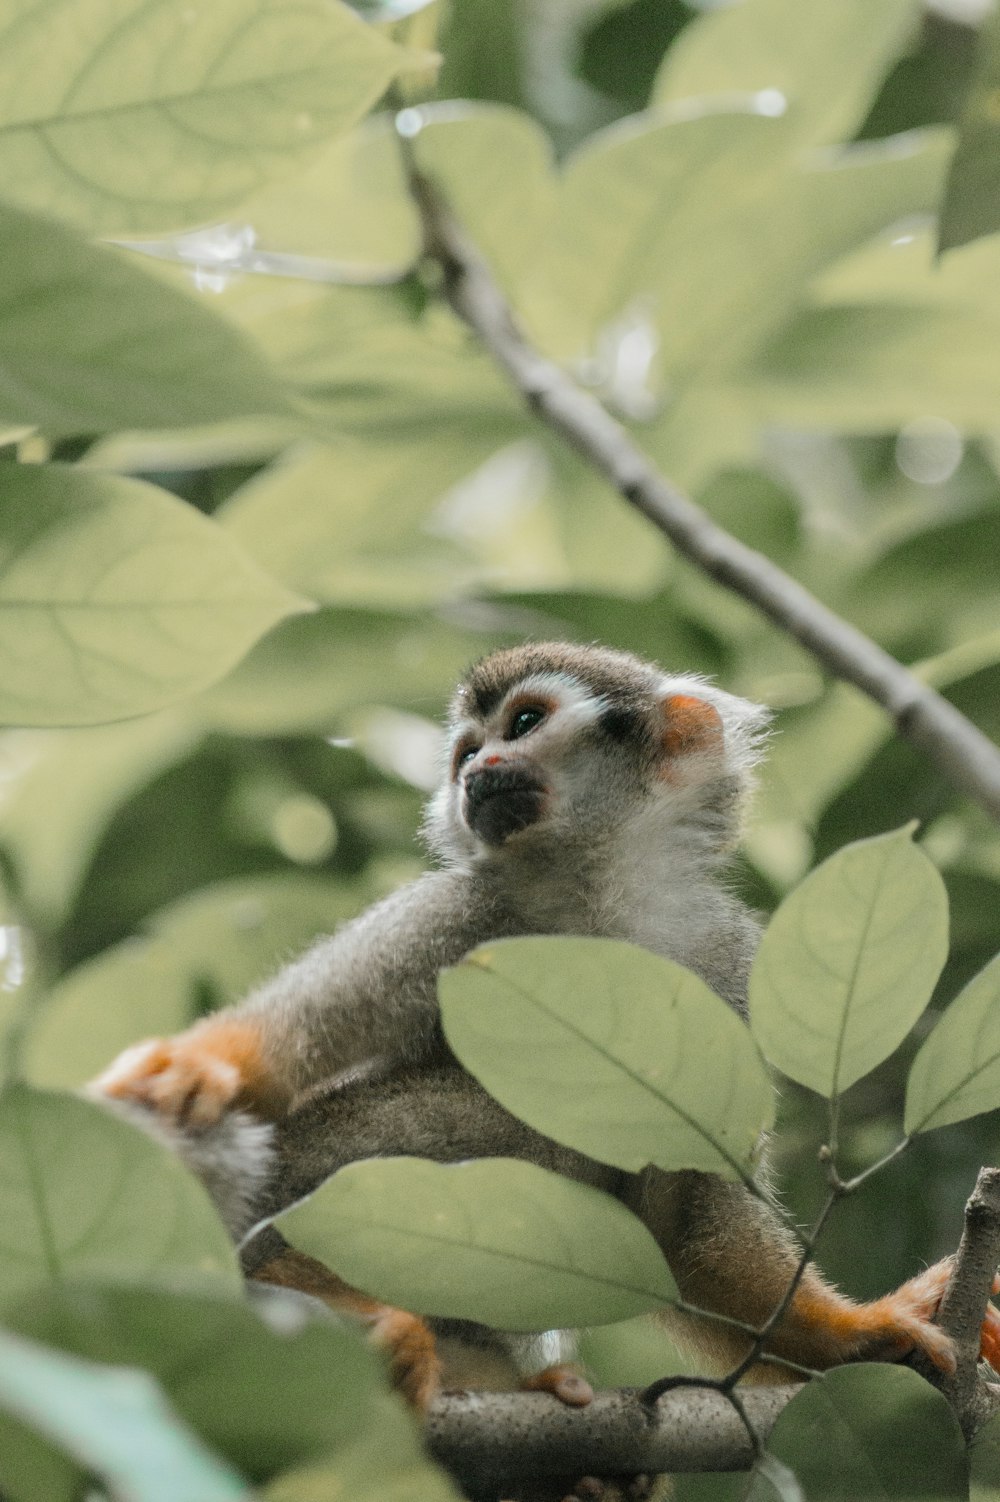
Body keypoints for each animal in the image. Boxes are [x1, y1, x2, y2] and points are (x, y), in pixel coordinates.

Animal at [91, 639, 996, 1399]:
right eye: (466, 752)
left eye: (523, 723)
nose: (479, 770)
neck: (597, 905)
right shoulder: (463, 914)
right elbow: (286, 1050)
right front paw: (192, 1068)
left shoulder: (724, 967)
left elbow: (688, 1225)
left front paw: (861, 1334)